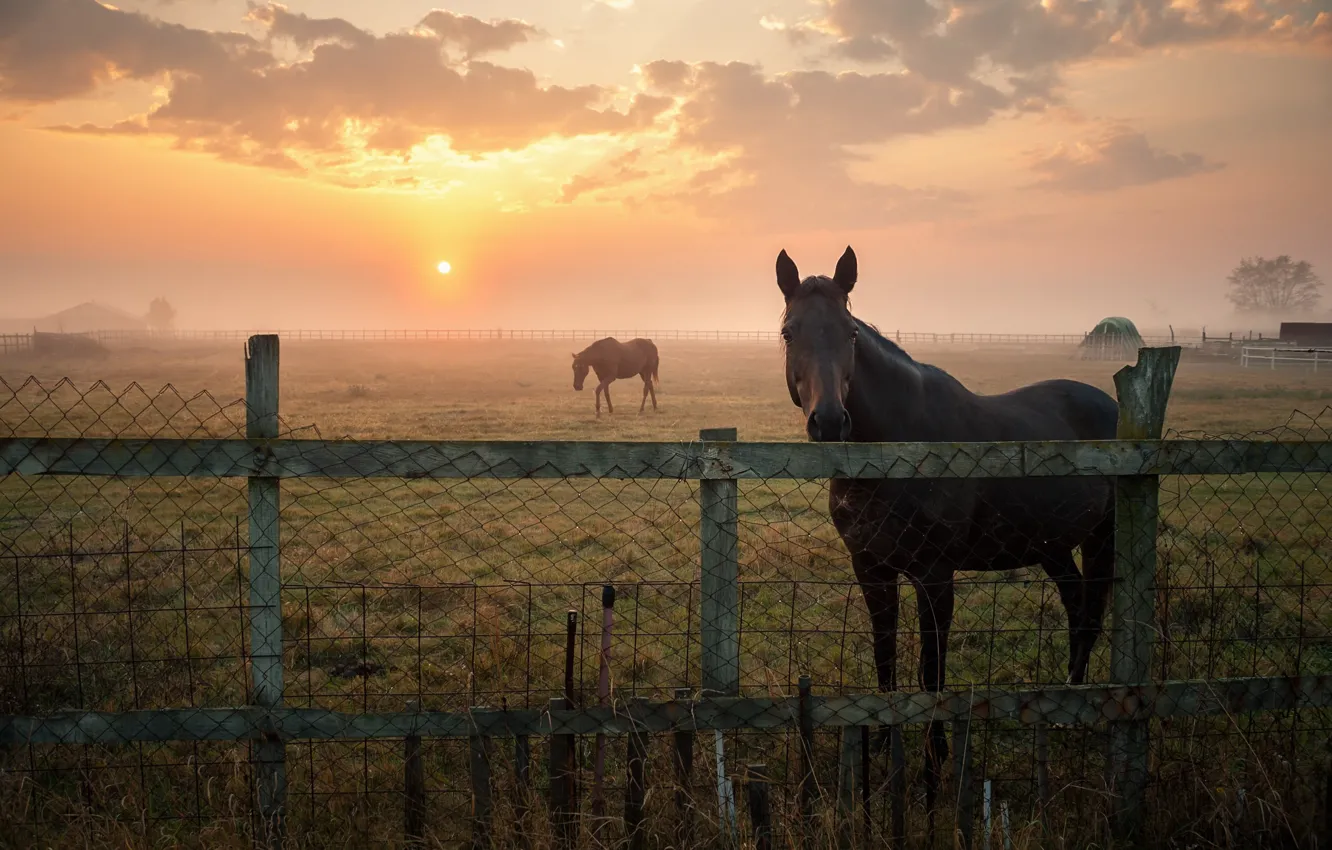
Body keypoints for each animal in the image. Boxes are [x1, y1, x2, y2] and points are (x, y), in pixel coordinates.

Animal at [777, 246, 1118, 810]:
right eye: (789, 331)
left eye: (851, 332)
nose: (828, 422)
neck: (897, 448)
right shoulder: (871, 570)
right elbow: (886, 657)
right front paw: (884, 747)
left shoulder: (935, 576)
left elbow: (932, 671)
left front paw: (932, 770)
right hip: (1050, 545)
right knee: (1074, 602)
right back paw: (1065, 700)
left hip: (1100, 537)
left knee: (1090, 611)